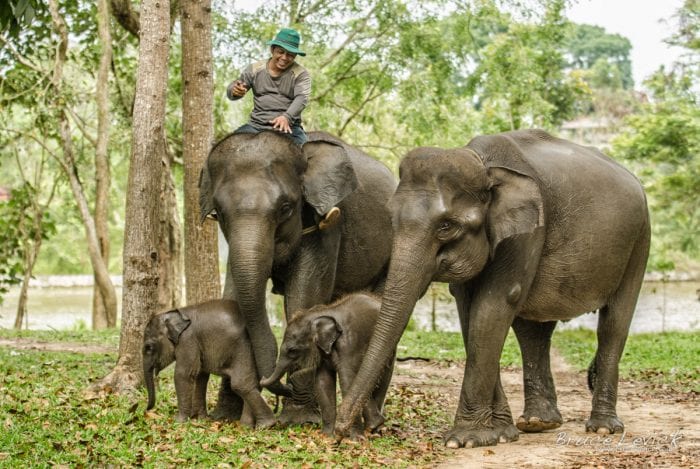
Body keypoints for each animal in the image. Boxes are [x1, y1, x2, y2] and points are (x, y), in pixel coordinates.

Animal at [142, 298, 282, 426]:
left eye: (149, 347)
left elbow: (183, 375)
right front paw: (200, 419)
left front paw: (179, 422)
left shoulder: (188, 340)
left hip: (245, 350)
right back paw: (246, 425)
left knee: (240, 384)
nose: (147, 410)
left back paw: (266, 425)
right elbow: (200, 376)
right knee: (251, 384)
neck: (175, 314)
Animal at [198, 131, 394, 420]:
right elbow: (233, 293)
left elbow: (304, 295)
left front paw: (298, 419)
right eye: (220, 212)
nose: (282, 390)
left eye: (286, 208)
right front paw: (224, 416)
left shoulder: (327, 222)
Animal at [262, 292, 396, 436]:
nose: (262, 378)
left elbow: (348, 380)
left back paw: (374, 427)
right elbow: (323, 382)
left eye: (292, 350)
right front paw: (327, 436)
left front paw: (355, 438)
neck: (322, 313)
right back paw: (374, 427)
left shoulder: (348, 345)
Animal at [334, 128, 652, 446]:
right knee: (533, 332)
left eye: (446, 226)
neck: (483, 164)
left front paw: (464, 439)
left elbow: (493, 305)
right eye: (391, 219)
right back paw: (538, 423)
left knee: (613, 324)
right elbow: (470, 312)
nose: (340, 431)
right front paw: (500, 433)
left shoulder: (527, 231)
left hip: (640, 241)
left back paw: (602, 428)